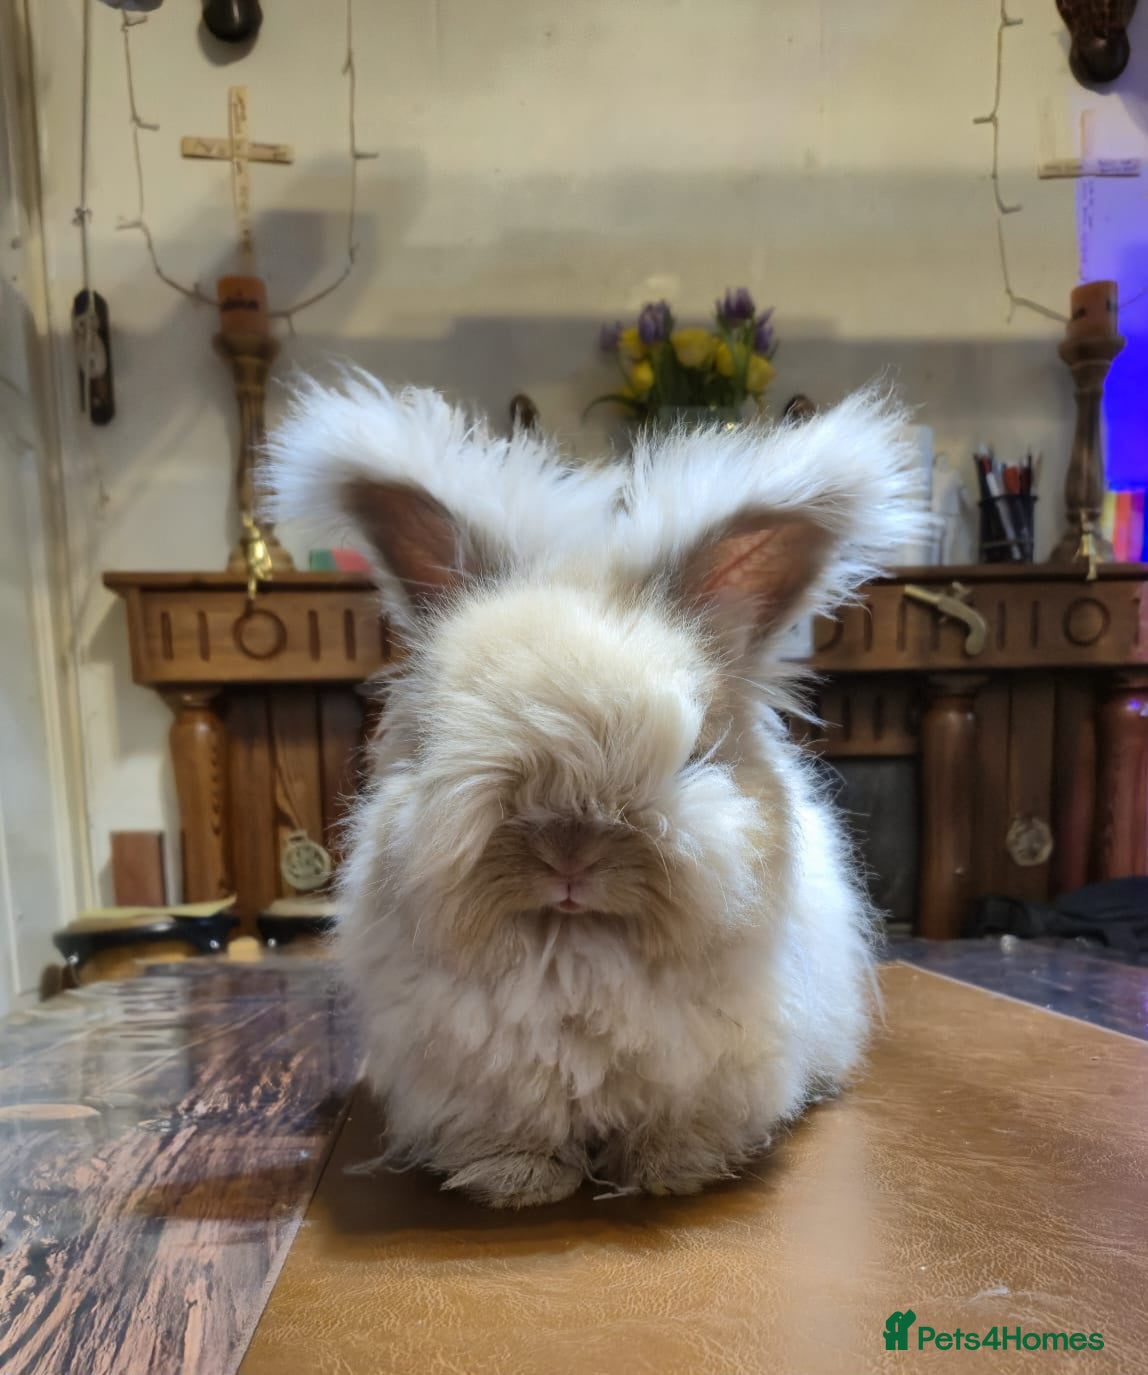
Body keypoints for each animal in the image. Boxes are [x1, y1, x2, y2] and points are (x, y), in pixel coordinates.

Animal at [264, 375, 926, 1208]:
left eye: (696, 750)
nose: (571, 851)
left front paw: (671, 1172)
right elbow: (514, 1134)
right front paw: (517, 1181)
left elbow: (676, 1128)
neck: (574, 950)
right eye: (444, 730)